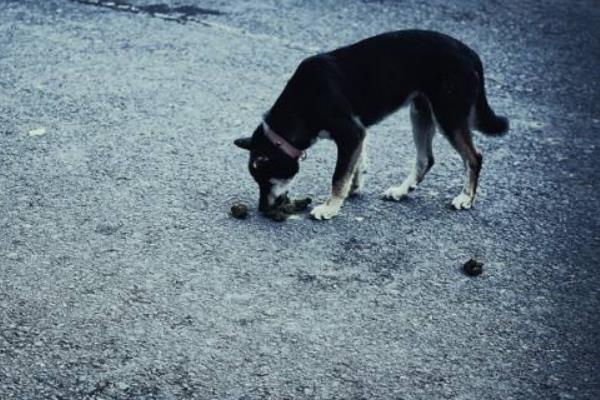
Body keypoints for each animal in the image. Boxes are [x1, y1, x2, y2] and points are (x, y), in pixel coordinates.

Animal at [233, 29, 506, 220]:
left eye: (266, 180)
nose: (262, 210)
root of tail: (471, 54)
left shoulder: (350, 133)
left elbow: (338, 175)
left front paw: (330, 207)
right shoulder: (358, 133)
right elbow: (355, 165)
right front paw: (353, 189)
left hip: (448, 115)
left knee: (474, 157)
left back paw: (466, 198)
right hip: (421, 110)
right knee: (425, 159)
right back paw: (401, 191)